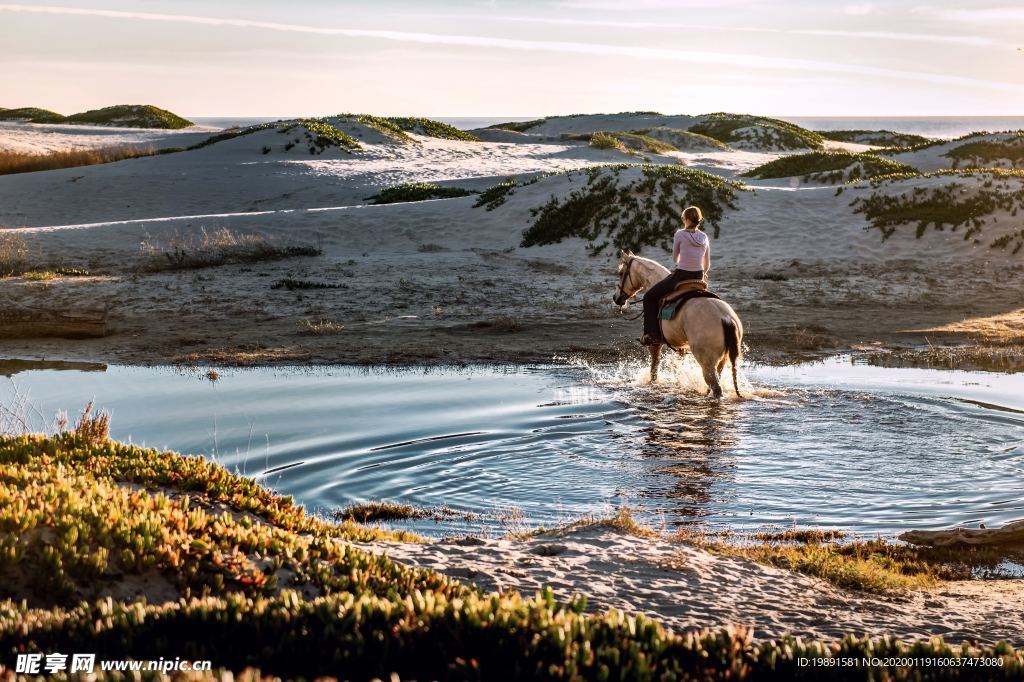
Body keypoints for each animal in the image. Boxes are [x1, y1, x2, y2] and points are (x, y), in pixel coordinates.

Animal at [610, 249, 741, 399]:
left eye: (621, 273)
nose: (616, 298)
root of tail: (726, 318)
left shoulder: (655, 343)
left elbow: (654, 369)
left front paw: (652, 385)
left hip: (706, 363)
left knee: (716, 388)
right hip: (722, 360)